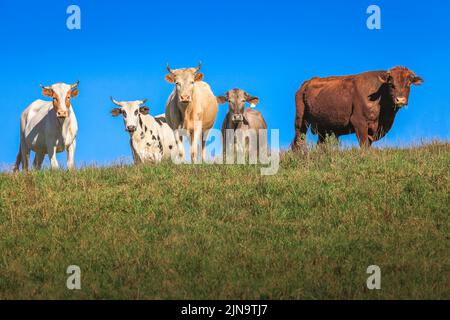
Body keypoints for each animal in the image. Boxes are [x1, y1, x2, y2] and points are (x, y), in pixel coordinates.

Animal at [290, 67, 424, 149]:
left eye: (408, 84)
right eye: (391, 84)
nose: (400, 100)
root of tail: (307, 82)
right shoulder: (359, 122)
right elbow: (364, 145)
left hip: (324, 128)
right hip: (301, 121)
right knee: (298, 140)